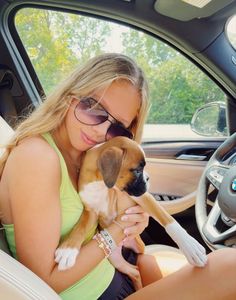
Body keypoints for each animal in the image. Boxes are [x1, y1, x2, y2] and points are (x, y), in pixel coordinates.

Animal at [54, 136, 206, 288]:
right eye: (137, 170)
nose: (148, 178)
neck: (103, 185)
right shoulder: (91, 212)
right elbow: (79, 228)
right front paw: (68, 250)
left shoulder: (143, 197)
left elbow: (167, 218)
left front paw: (191, 247)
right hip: (114, 258)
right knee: (134, 270)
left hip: (139, 247)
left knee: (136, 267)